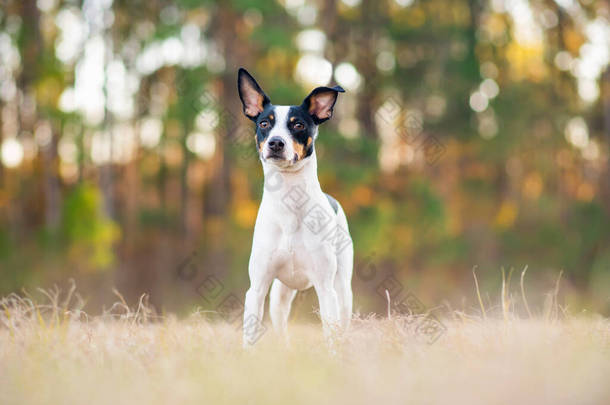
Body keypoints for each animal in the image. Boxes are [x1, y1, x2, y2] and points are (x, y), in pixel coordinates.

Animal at [236, 67, 352, 344]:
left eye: (298, 124)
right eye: (264, 123)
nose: (276, 143)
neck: (289, 204)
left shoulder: (325, 289)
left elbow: (331, 336)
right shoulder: (256, 288)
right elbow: (250, 336)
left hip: (343, 290)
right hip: (279, 296)